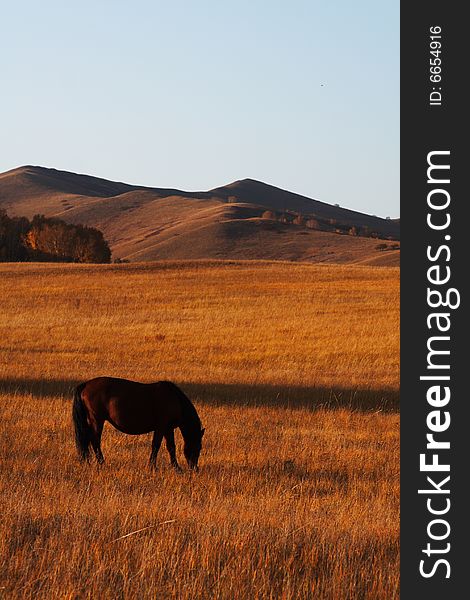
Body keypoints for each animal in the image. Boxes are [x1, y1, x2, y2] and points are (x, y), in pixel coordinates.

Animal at [71, 378, 204, 472]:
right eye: (198, 447)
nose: (195, 469)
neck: (174, 399)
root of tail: (86, 384)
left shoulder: (167, 429)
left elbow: (170, 447)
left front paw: (174, 467)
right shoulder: (162, 427)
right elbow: (158, 446)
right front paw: (155, 467)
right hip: (97, 420)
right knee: (95, 441)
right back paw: (102, 463)